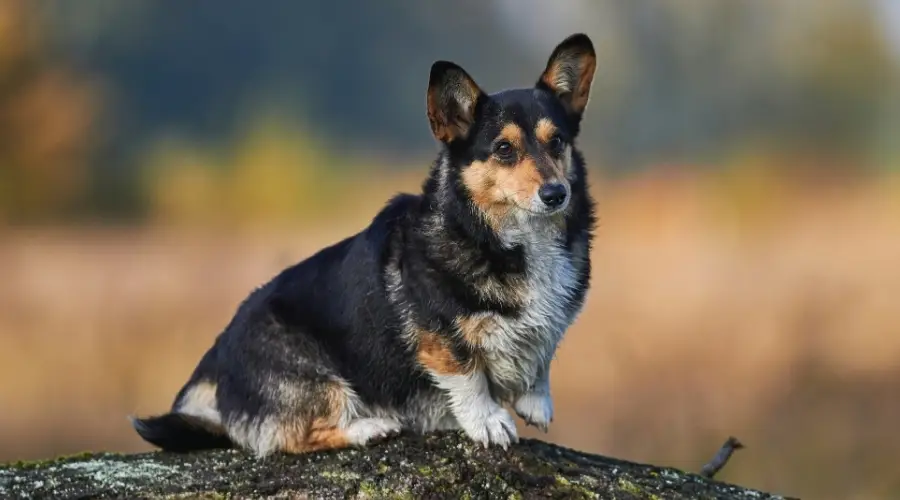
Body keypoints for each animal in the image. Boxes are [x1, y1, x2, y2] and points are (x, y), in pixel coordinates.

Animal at [132, 32, 596, 458]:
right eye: (503, 148)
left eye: (557, 141)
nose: (556, 194)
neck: (510, 238)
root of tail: (214, 359)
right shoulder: (439, 335)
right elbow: (468, 377)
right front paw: (489, 421)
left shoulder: (551, 322)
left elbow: (542, 353)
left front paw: (535, 400)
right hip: (314, 375)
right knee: (293, 437)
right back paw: (369, 428)